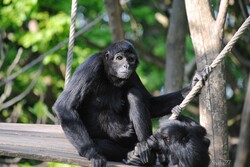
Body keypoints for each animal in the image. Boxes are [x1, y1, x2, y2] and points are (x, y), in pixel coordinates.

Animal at [53, 39, 209, 166]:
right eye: (119, 58)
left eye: (131, 59)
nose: (126, 66)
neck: (110, 77)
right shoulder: (91, 65)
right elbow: (64, 107)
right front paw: (93, 154)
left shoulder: (132, 74)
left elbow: (152, 105)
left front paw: (193, 84)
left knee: (134, 94)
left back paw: (144, 151)